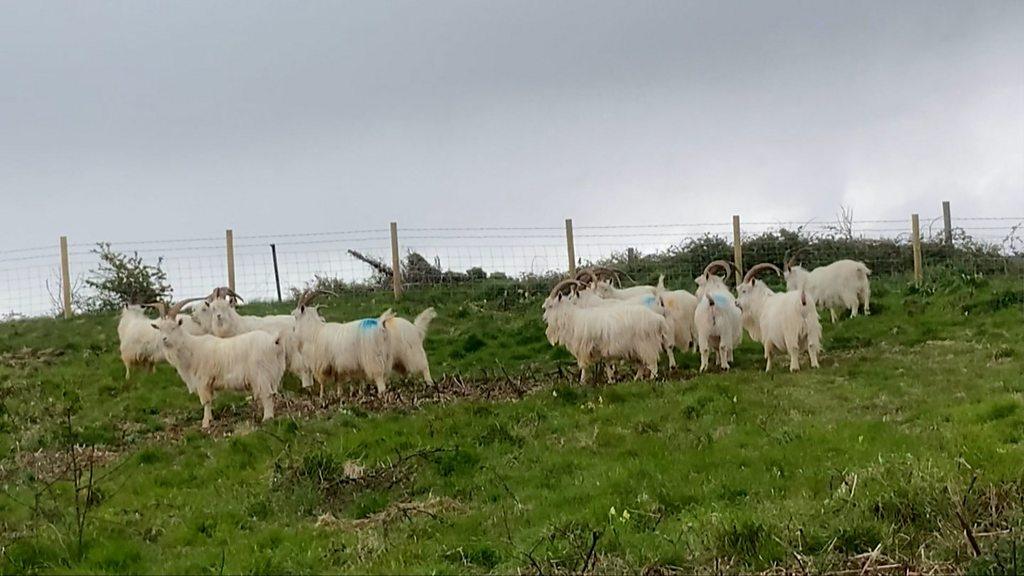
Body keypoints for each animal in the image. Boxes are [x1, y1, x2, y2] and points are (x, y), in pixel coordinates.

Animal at [148, 297, 286, 428]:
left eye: (173, 327)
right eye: (159, 328)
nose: (164, 339)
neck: (191, 347)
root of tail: (274, 340)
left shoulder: (202, 380)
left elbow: (206, 402)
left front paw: (205, 423)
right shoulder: (209, 383)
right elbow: (210, 401)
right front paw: (209, 419)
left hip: (262, 374)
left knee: (267, 394)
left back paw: (267, 418)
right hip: (275, 373)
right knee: (272, 393)